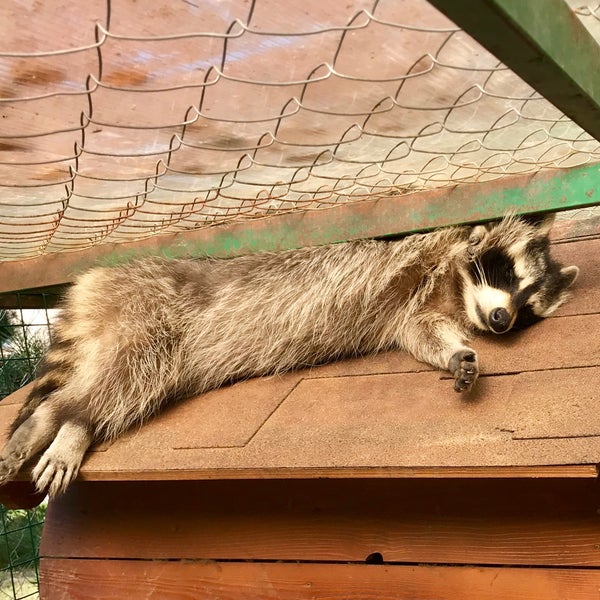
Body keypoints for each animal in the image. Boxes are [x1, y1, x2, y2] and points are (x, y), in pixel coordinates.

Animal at [0, 213, 576, 494]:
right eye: (507, 276)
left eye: (528, 302)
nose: (501, 321)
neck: (454, 289)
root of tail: (101, 281)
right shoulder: (411, 259)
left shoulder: (413, 312)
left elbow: (423, 334)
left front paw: (457, 353)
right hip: (149, 312)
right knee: (125, 376)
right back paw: (68, 420)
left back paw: (69, 420)